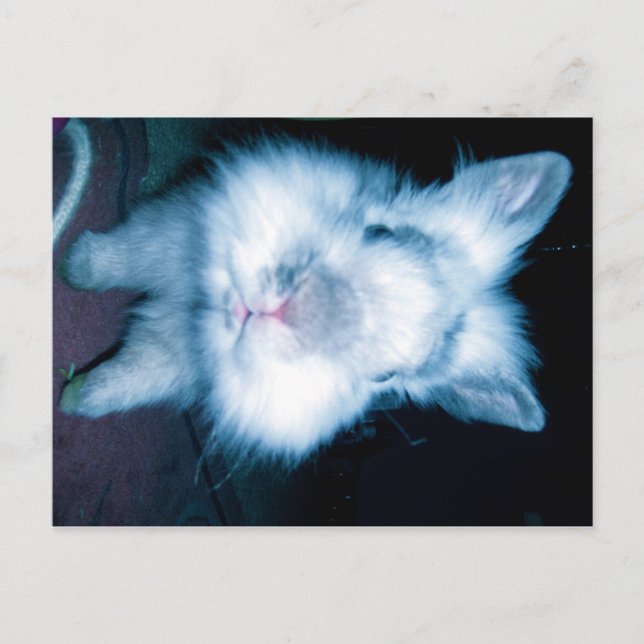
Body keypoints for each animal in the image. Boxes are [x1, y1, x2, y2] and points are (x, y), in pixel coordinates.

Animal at [59, 135, 572, 462]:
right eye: (379, 232)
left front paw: (73, 398)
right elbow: (123, 258)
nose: (284, 311)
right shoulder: (174, 234)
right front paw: (72, 264)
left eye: (384, 377)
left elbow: (128, 380)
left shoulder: (177, 359)